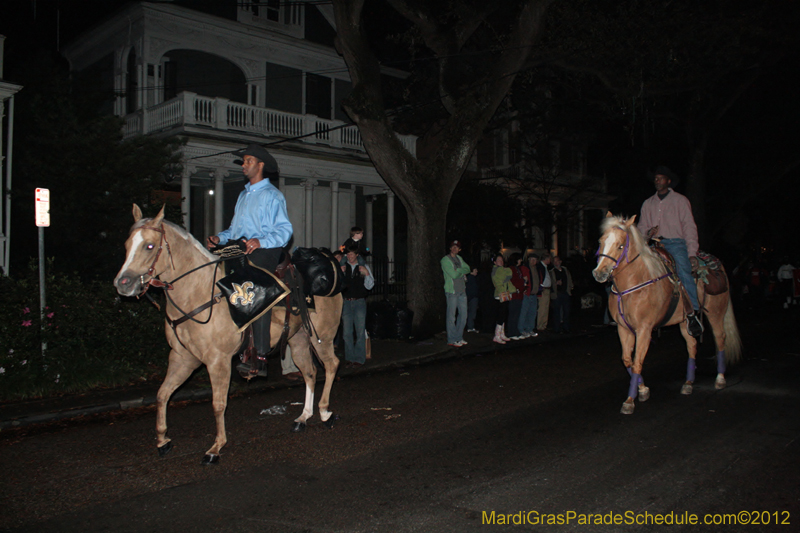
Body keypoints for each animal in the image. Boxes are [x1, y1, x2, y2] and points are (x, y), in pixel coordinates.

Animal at [113, 206, 340, 464]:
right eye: (127, 244)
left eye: (149, 246)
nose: (123, 283)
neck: (200, 291)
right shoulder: (182, 358)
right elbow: (162, 395)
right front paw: (163, 440)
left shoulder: (218, 360)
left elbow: (218, 403)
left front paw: (215, 447)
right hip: (298, 338)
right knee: (310, 372)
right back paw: (303, 417)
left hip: (322, 337)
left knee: (331, 365)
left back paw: (325, 412)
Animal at [592, 214, 740, 414]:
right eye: (601, 241)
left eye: (621, 246)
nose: (599, 274)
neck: (633, 285)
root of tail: (717, 264)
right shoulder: (623, 329)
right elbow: (627, 360)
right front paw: (643, 390)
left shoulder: (644, 330)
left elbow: (637, 362)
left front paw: (630, 400)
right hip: (685, 322)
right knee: (692, 345)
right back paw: (688, 382)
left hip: (716, 313)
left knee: (720, 338)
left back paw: (720, 378)